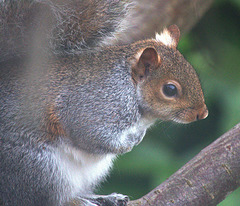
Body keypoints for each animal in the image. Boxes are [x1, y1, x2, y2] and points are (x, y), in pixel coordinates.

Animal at [0, 0, 207, 206]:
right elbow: (91, 135)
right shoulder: (94, 105)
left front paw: (137, 137)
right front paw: (126, 145)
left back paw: (101, 197)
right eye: (170, 89)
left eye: (193, 71)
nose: (202, 113)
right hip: (40, 168)